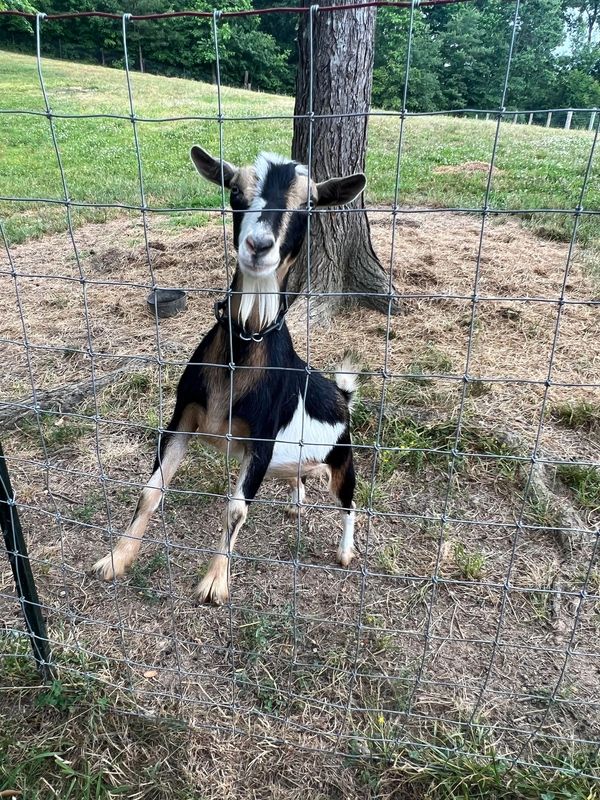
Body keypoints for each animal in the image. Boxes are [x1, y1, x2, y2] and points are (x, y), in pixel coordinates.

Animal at [92, 147, 366, 604]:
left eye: (308, 205)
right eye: (236, 192)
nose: (258, 245)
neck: (247, 339)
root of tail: (340, 396)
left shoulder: (262, 440)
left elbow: (236, 509)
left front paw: (214, 582)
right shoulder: (183, 417)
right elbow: (151, 491)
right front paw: (116, 559)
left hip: (342, 454)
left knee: (348, 502)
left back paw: (345, 552)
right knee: (301, 476)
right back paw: (295, 501)